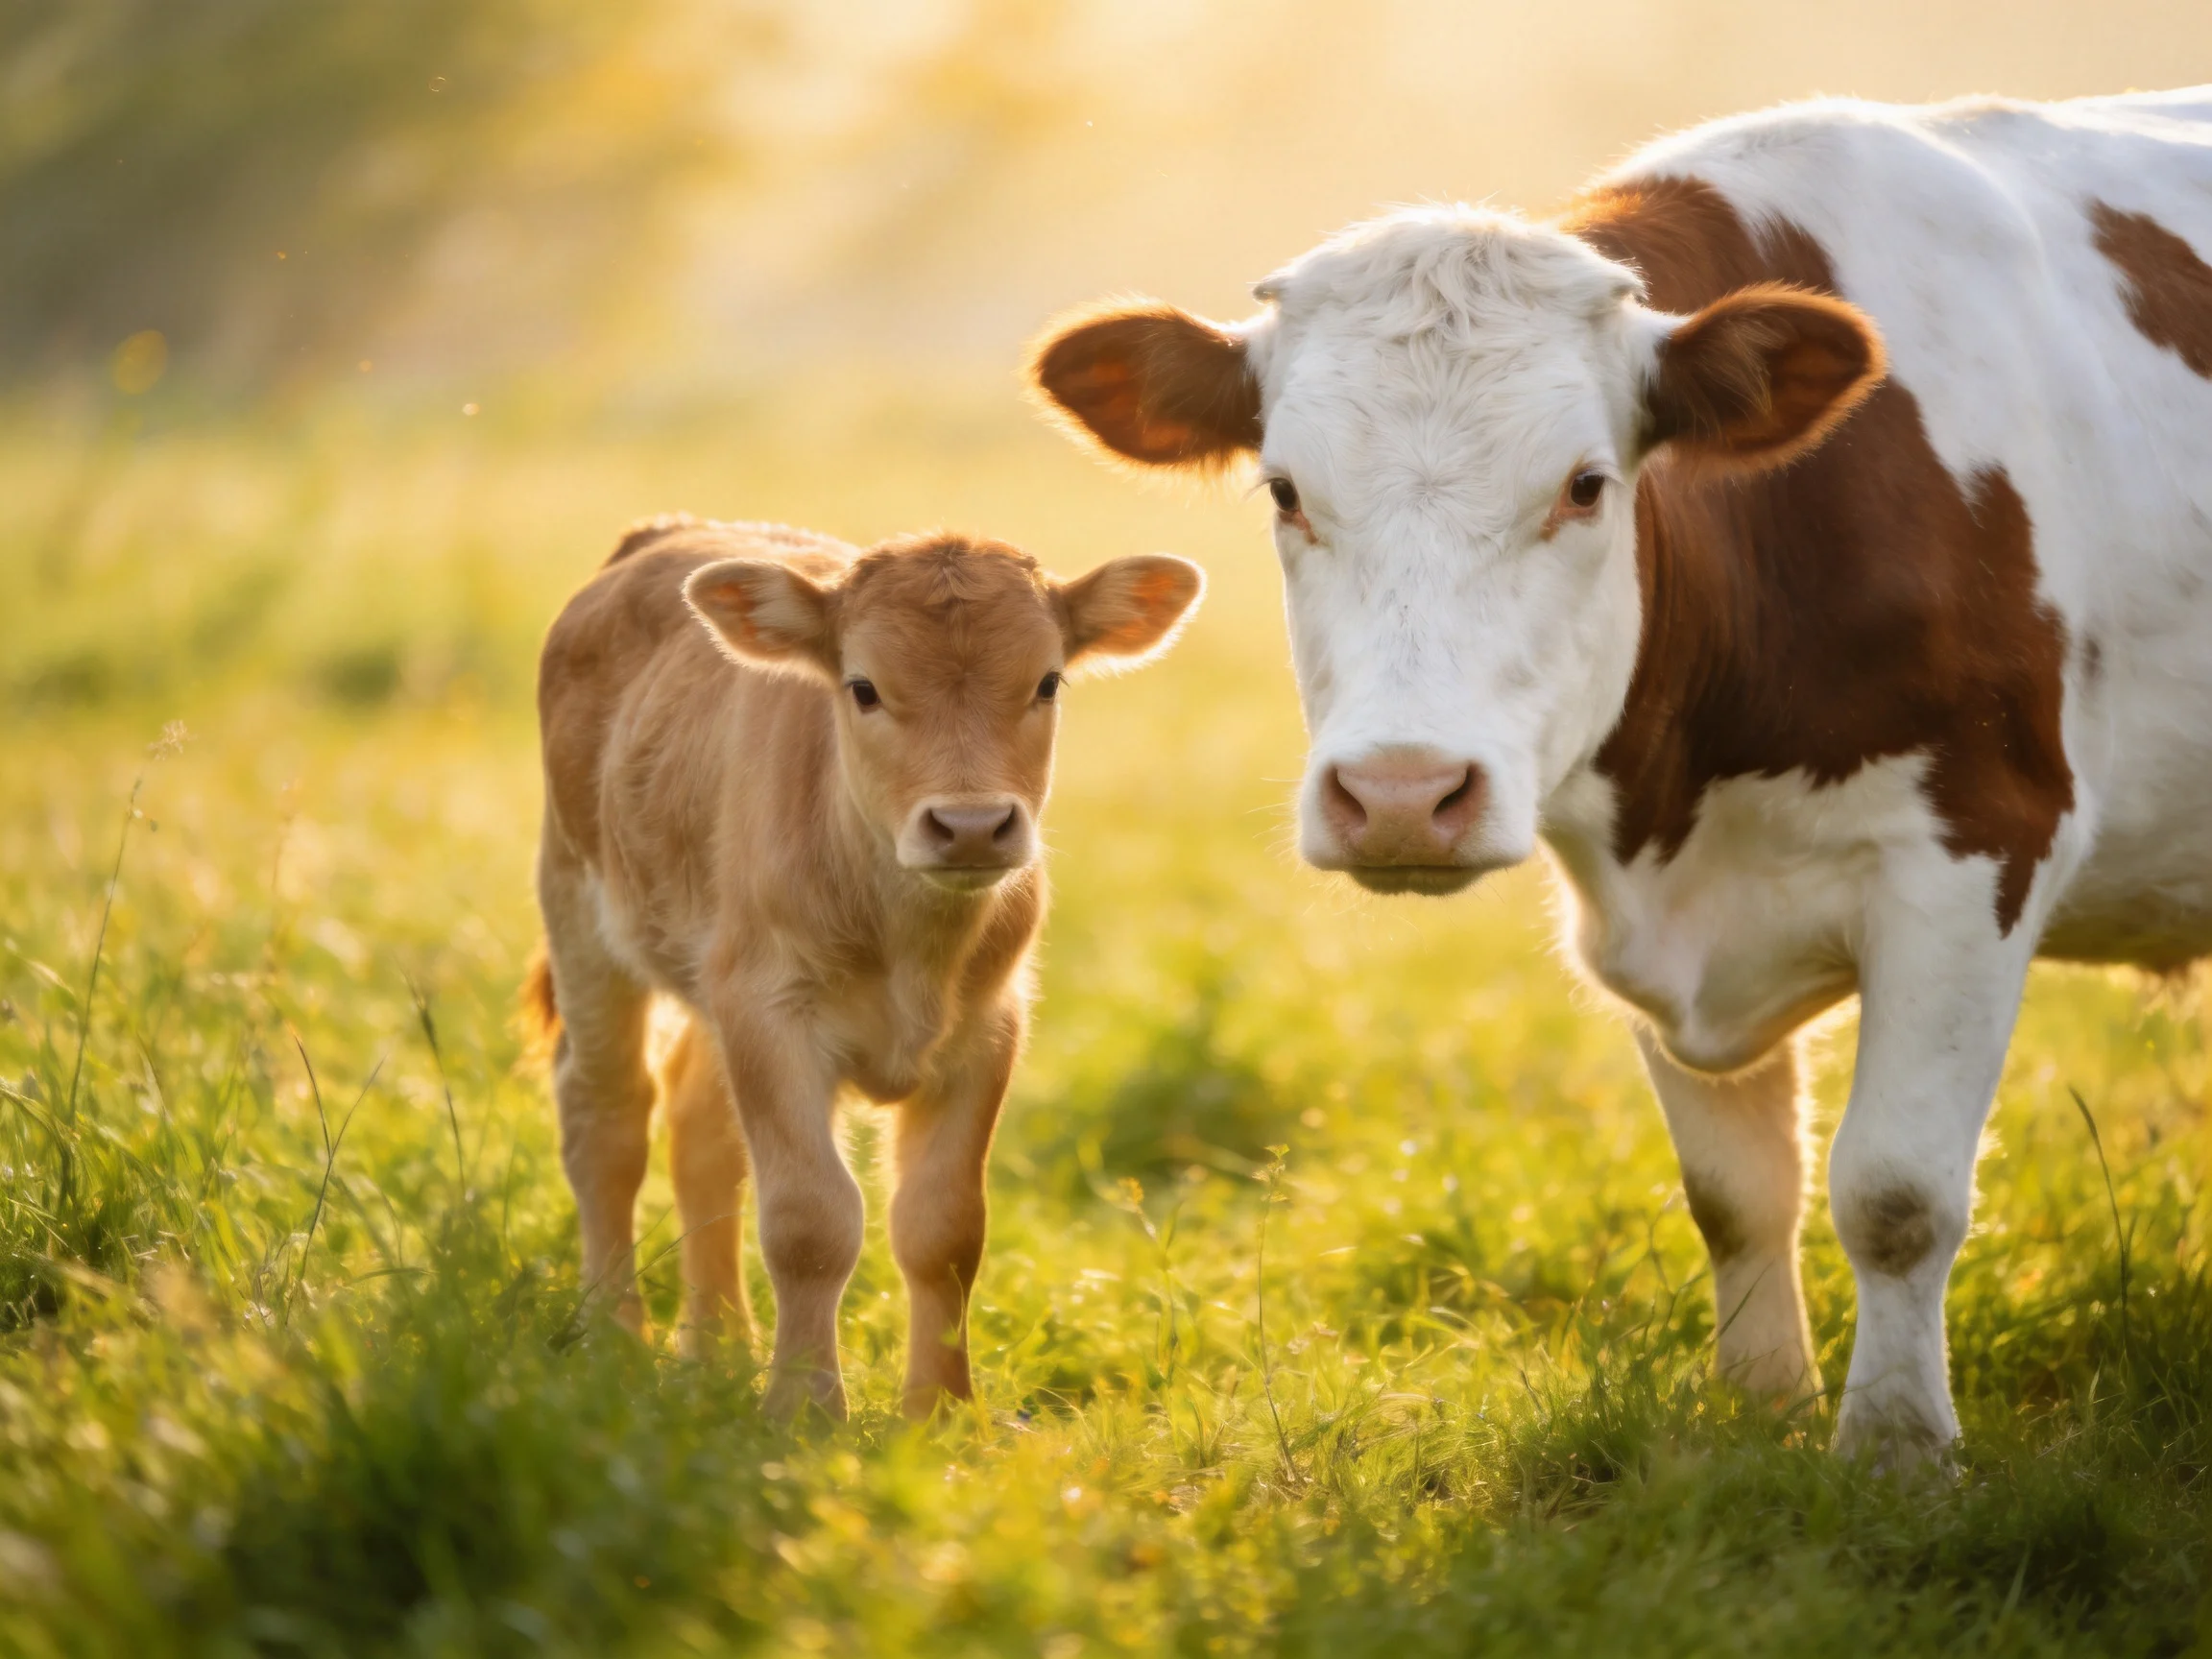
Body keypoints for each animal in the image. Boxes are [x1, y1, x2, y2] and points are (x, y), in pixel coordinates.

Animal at [526, 515, 1202, 1417]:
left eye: (1048, 681)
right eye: (864, 688)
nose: (971, 825)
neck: (910, 942)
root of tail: (666, 532)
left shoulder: (987, 1028)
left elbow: (944, 1227)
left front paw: (942, 1413)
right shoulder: (771, 1012)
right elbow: (811, 1220)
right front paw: (803, 1410)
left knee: (700, 1130)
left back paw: (719, 1349)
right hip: (580, 906)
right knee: (607, 1117)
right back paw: (615, 1342)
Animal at [1027, 87, 2212, 1467]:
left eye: (1586, 487)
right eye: (1284, 491)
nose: (1401, 795)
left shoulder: (1982, 845)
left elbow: (1895, 1191)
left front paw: (1896, 1455)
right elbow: (1737, 1193)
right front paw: (1762, 1414)